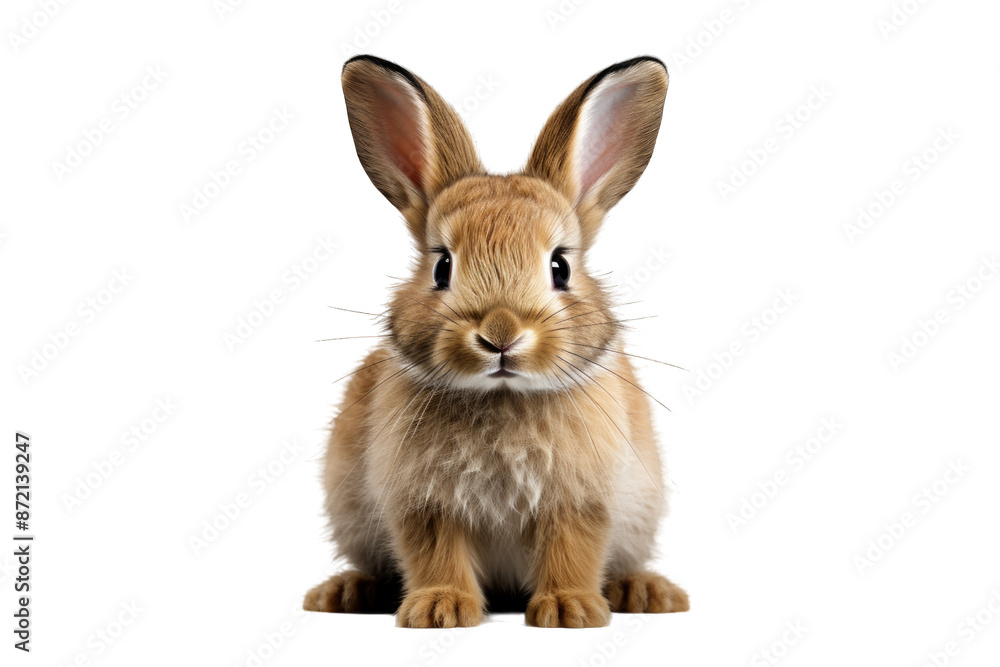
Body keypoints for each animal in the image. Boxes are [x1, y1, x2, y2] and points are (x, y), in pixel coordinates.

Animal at [303, 54, 688, 628]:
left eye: (560, 267)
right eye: (442, 267)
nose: (500, 336)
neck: (502, 395)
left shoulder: (581, 500)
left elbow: (573, 549)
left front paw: (570, 610)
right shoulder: (423, 503)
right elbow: (435, 552)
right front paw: (440, 609)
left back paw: (644, 592)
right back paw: (346, 593)